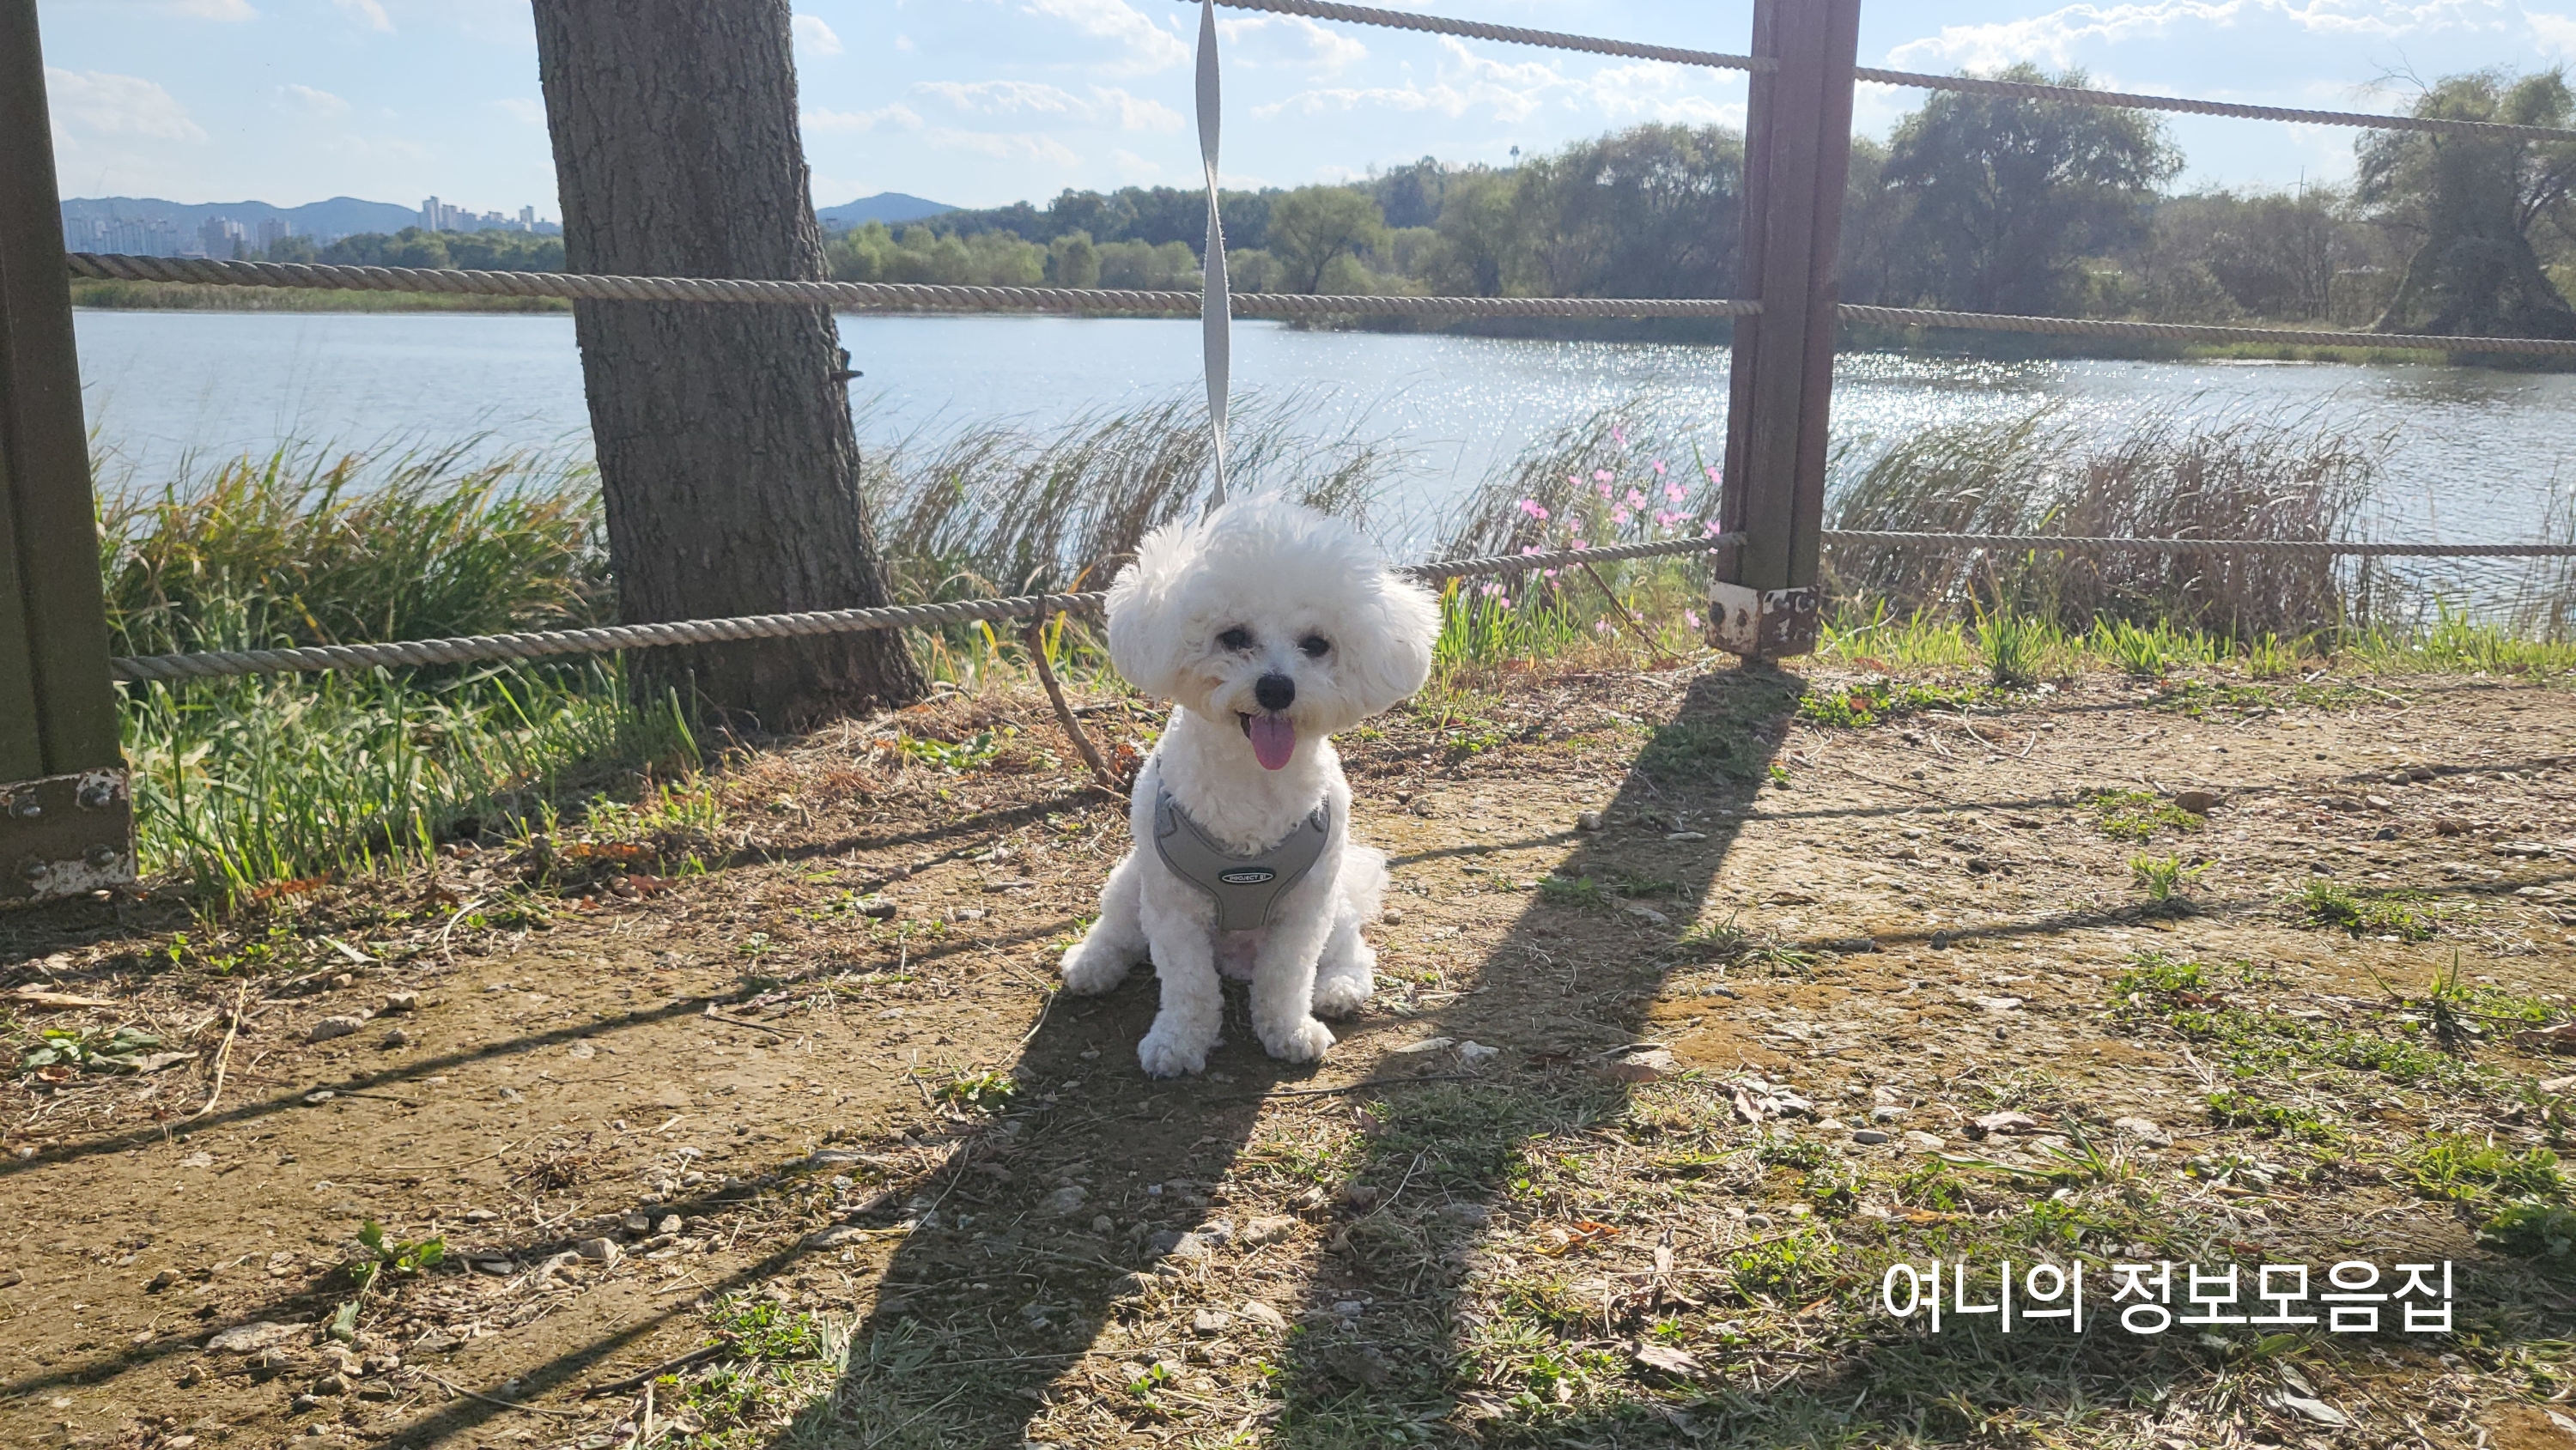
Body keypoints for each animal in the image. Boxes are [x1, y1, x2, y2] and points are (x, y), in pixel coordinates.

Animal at [1058, 497, 1440, 1077]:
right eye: (1233, 637)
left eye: (1316, 645)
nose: (1277, 688)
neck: (1252, 779)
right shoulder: (1173, 908)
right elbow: (1188, 984)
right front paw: (1177, 1043)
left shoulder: (1304, 908)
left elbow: (1286, 978)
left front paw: (1289, 1031)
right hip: (1131, 880)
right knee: (1116, 929)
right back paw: (1091, 964)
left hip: (1336, 902)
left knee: (1351, 952)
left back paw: (1339, 988)